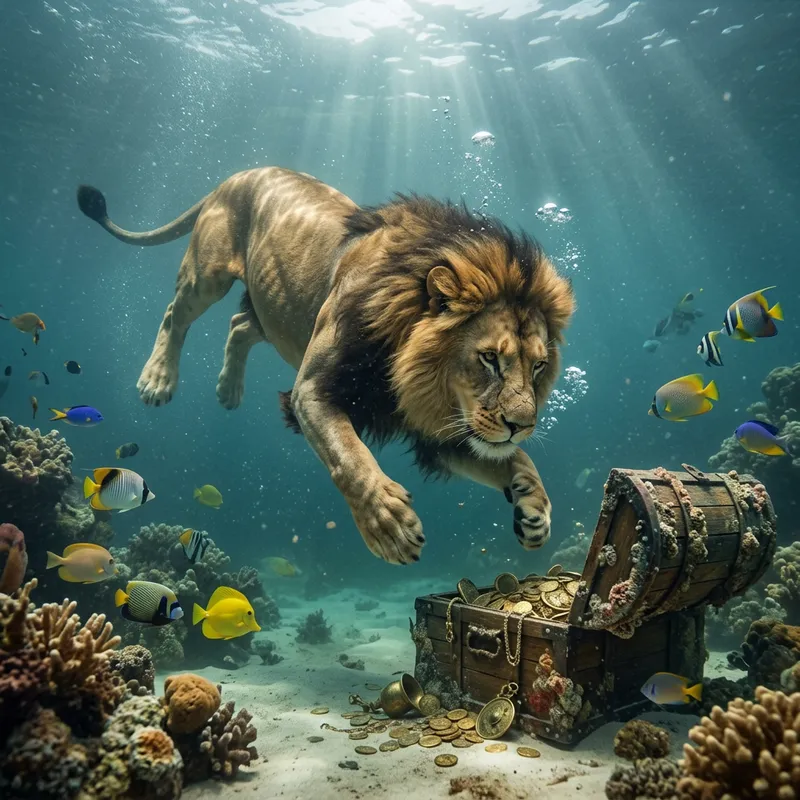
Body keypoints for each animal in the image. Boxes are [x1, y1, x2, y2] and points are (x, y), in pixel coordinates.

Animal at [77, 167, 575, 565]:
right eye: (489, 358)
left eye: (538, 367)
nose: (522, 425)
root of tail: (236, 175)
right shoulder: (312, 391)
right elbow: (349, 457)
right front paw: (388, 525)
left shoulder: (444, 431)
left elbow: (520, 460)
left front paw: (536, 510)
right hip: (208, 274)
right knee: (174, 314)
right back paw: (157, 379)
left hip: (277, 313)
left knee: (240, 325)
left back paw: (228, 390)